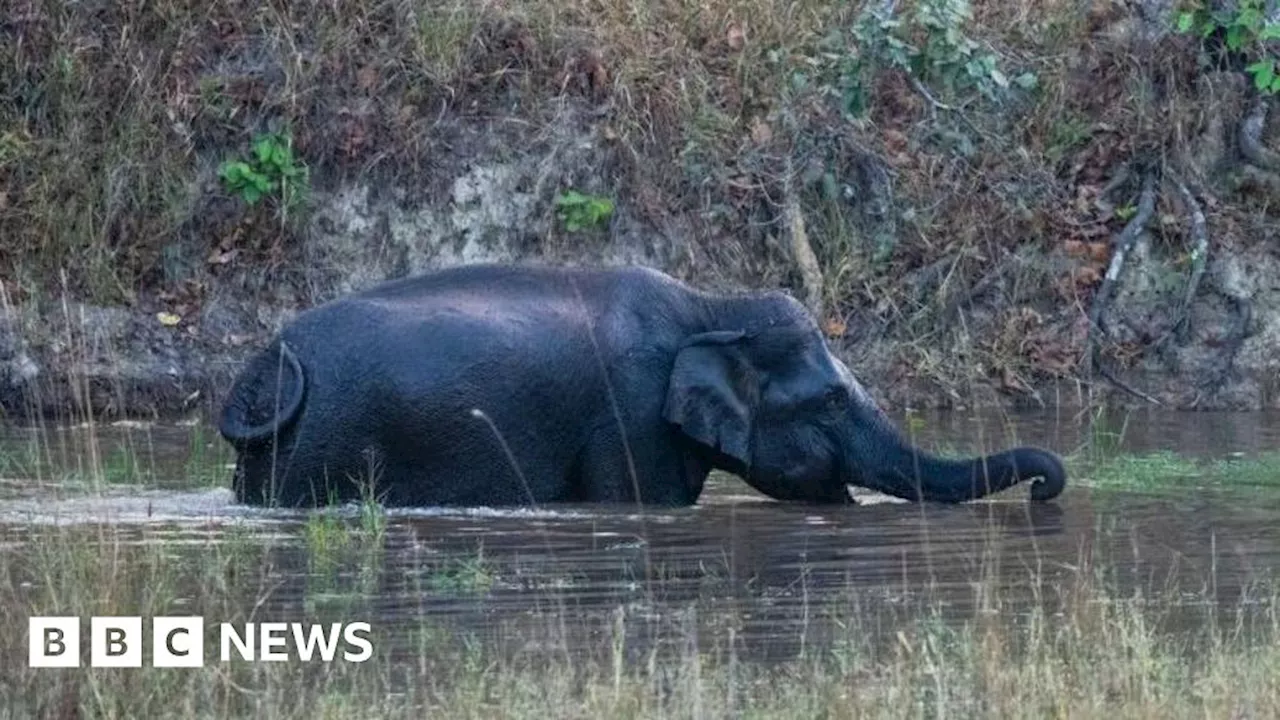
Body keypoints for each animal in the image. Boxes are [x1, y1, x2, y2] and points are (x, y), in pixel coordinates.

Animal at [215, 262, 1064, 504]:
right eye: (828, 401)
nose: (1044, 487)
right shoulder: (629, 416)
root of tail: (270, 361)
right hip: (327, 447)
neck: (711, 307)